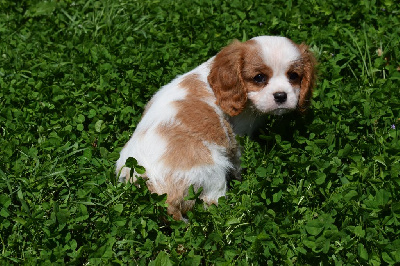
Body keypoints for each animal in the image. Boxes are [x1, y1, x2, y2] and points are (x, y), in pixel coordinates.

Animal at [115, 36, 316, 221]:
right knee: (212, 202)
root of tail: (160, 192)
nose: (281, 96)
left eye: (293, 76)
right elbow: (239, 161)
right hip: (213, 170)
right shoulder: (237, 136)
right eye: (259, 78)